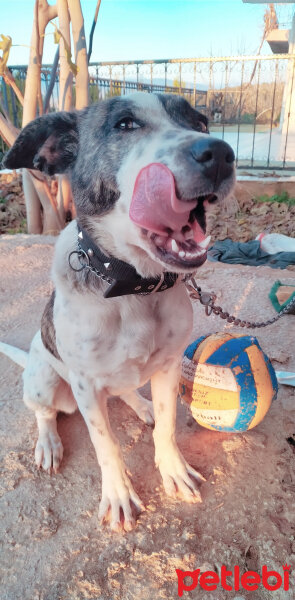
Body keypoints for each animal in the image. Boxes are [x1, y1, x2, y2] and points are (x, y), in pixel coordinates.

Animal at [0, 91, 236, 532]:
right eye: (125, 124)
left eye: (200, 122)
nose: (220, 154)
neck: (133, 288)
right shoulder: (87, 388)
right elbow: (106, 444)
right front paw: (119, 494)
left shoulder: (168, 365)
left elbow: (168, 427)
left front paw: (172, 470)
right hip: (44, 378)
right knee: (44, 413)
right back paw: (49, 443)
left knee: (127, 390)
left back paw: (142, 406)